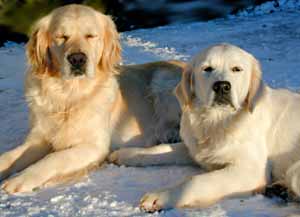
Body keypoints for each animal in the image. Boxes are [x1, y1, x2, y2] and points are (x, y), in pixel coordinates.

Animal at [0, 3, 185, 193]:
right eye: (61, 36)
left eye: (90, 36)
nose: (77, 59)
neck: (68, 96)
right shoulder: (39, 138)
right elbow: (9, 157)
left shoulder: (93, 146)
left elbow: (53, 159)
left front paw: (20, 179)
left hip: (163, 79)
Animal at [109, 43, 300, 212]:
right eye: (207, 69)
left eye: (236, 69)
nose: (222, 86)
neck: (216, 121)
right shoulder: (194, 149)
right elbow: (159, 149)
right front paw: (125, 154)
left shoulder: (250, 170)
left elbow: (195, 181)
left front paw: (161, 197)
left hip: (294, 172)